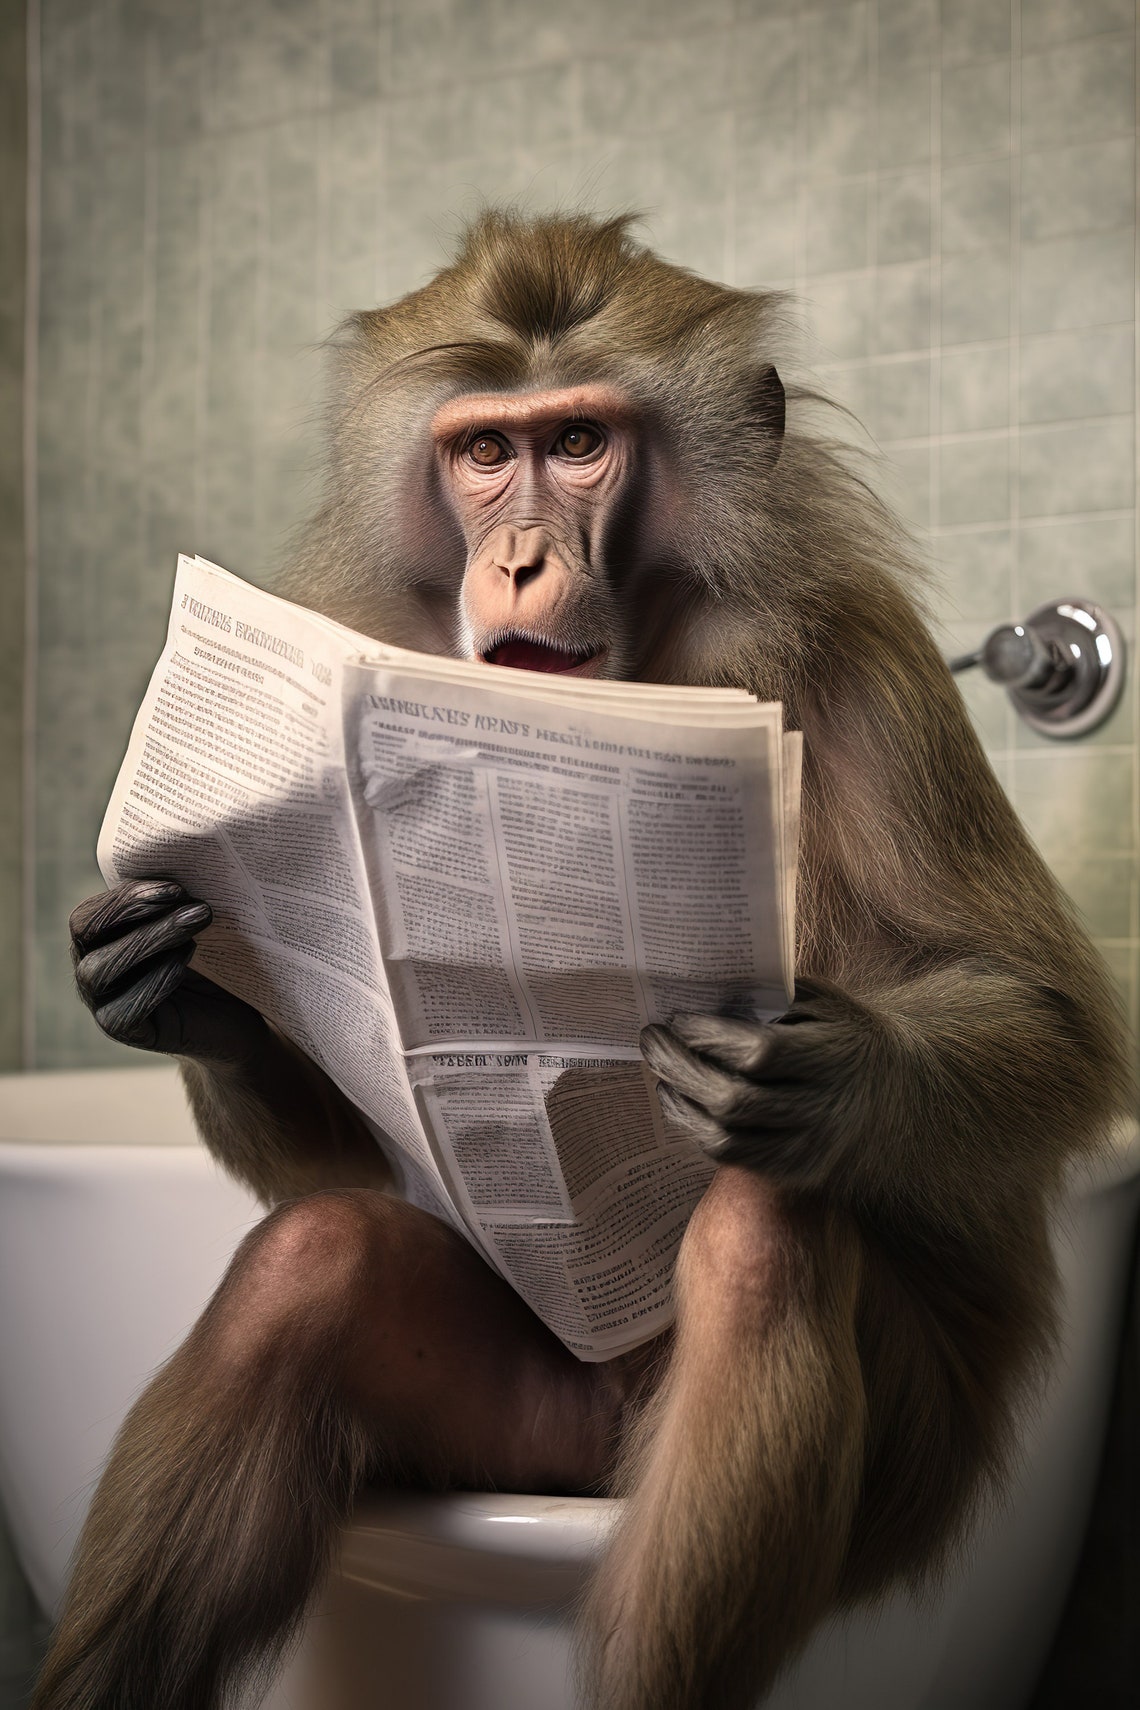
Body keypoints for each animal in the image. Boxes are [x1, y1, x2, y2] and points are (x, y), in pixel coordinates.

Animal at [40, 210, 1131, 1710]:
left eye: (576, 443)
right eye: (483, 452)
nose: (515, 558)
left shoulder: (866, 661)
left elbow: (1045, 1013)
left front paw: (829, 1075)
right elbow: (328, 1175)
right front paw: (172, 982)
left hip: (900, 1476)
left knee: (761, 1239)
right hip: (512, 1451)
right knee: (310, 1264)